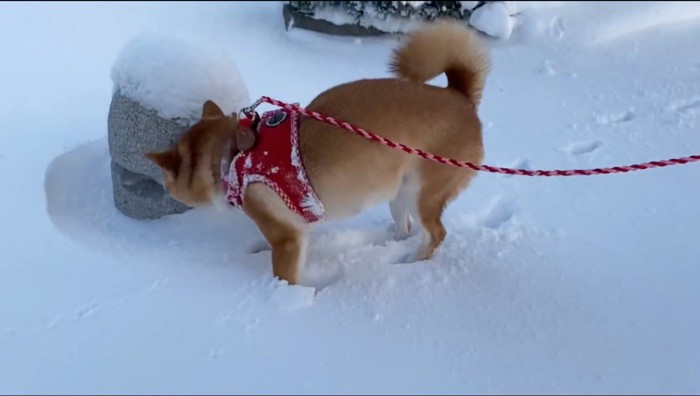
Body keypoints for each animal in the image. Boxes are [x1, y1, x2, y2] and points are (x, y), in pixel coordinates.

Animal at [145, 20, 490, 284]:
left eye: (167, 181)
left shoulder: (285, 237)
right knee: (405, 228)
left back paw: (408, 264)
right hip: (399, 190)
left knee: (436, 234)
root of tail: (460, 97)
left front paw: (287, 298)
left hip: (422, 193)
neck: (232, 157)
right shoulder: (298, 230)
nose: (162, 190)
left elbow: (286, 274)